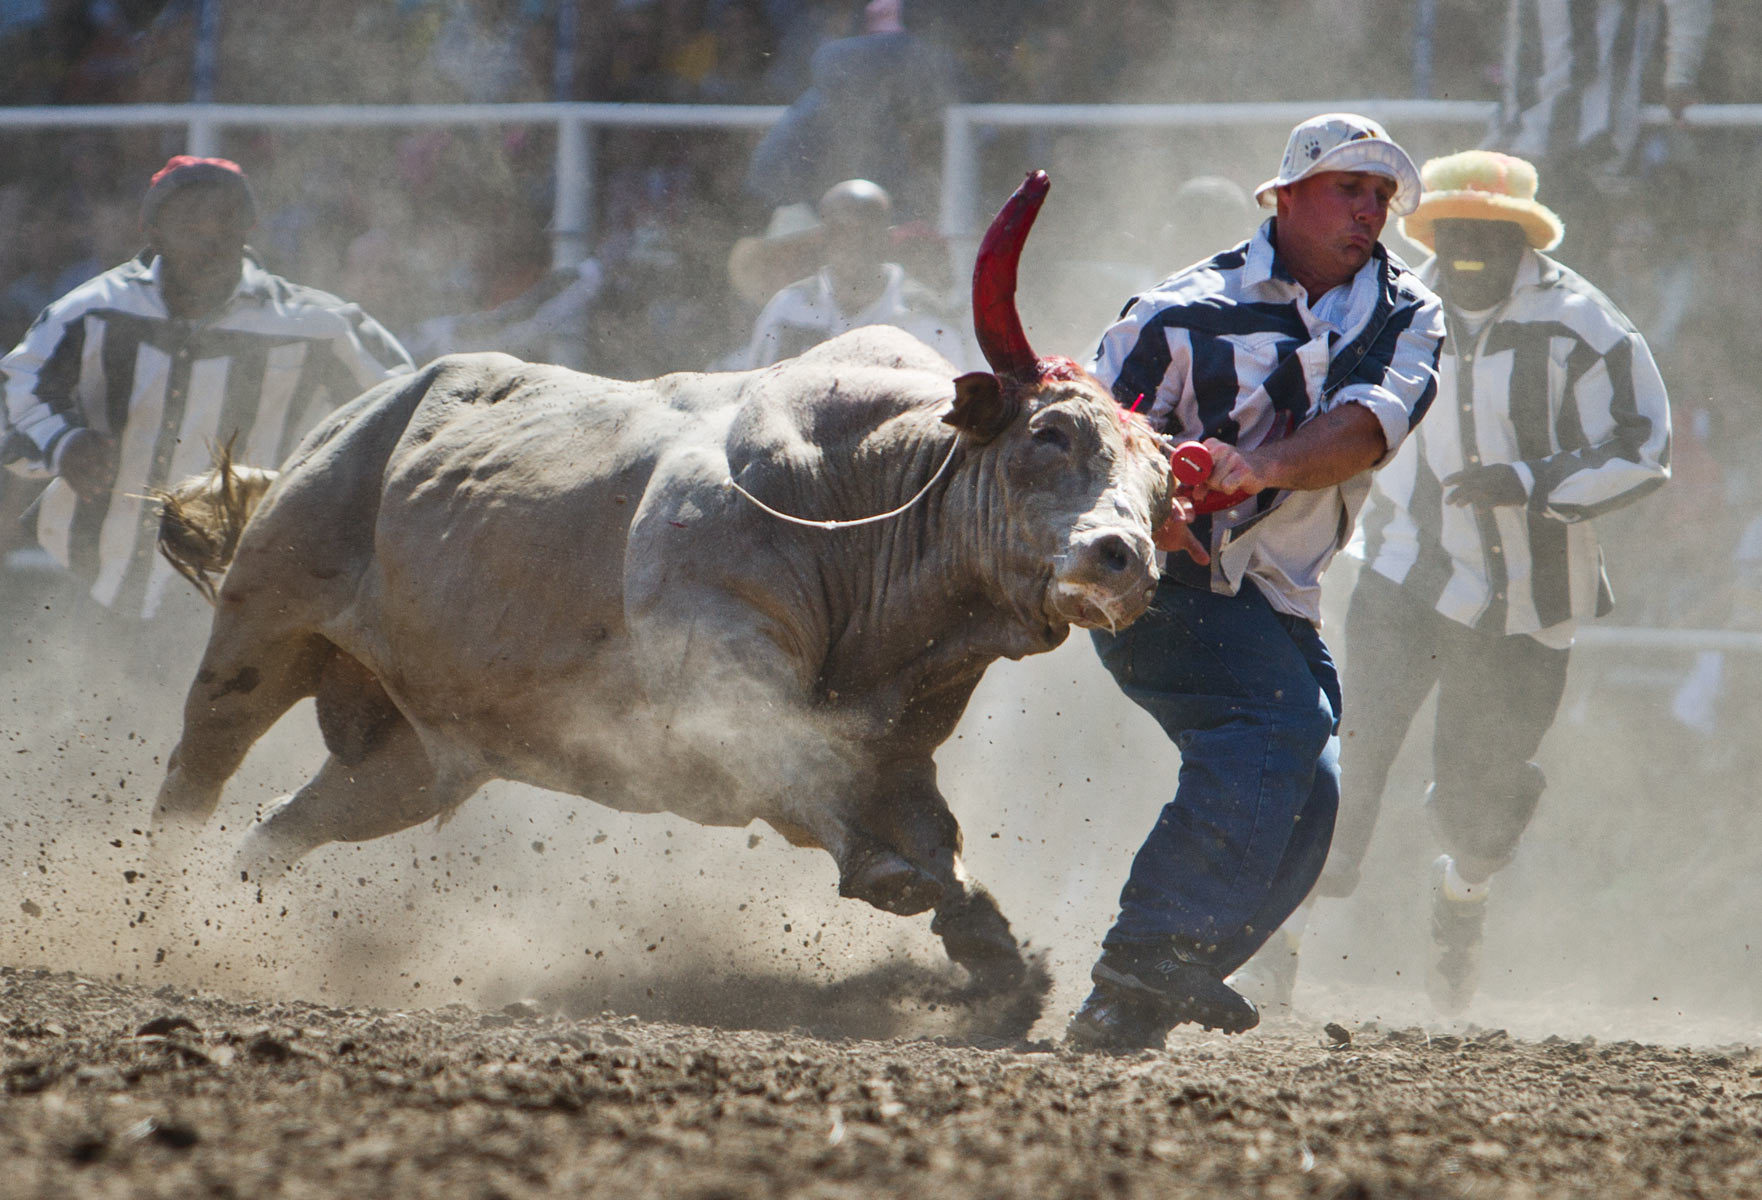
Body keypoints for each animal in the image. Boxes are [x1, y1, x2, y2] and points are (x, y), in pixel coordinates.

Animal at [148, 173, 1169, 1007]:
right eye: (1049, 437)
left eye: (1164, 484)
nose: (1126, 557)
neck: (859, 505)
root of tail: (356, 417)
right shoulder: (723, 703)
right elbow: (809, 780)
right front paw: (891, 880)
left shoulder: (897, 746)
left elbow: (935, 832)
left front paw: (995, 952)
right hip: (260, 633)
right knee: (195, 777)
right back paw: (155, 914)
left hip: (409, 759)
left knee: (284, 830)